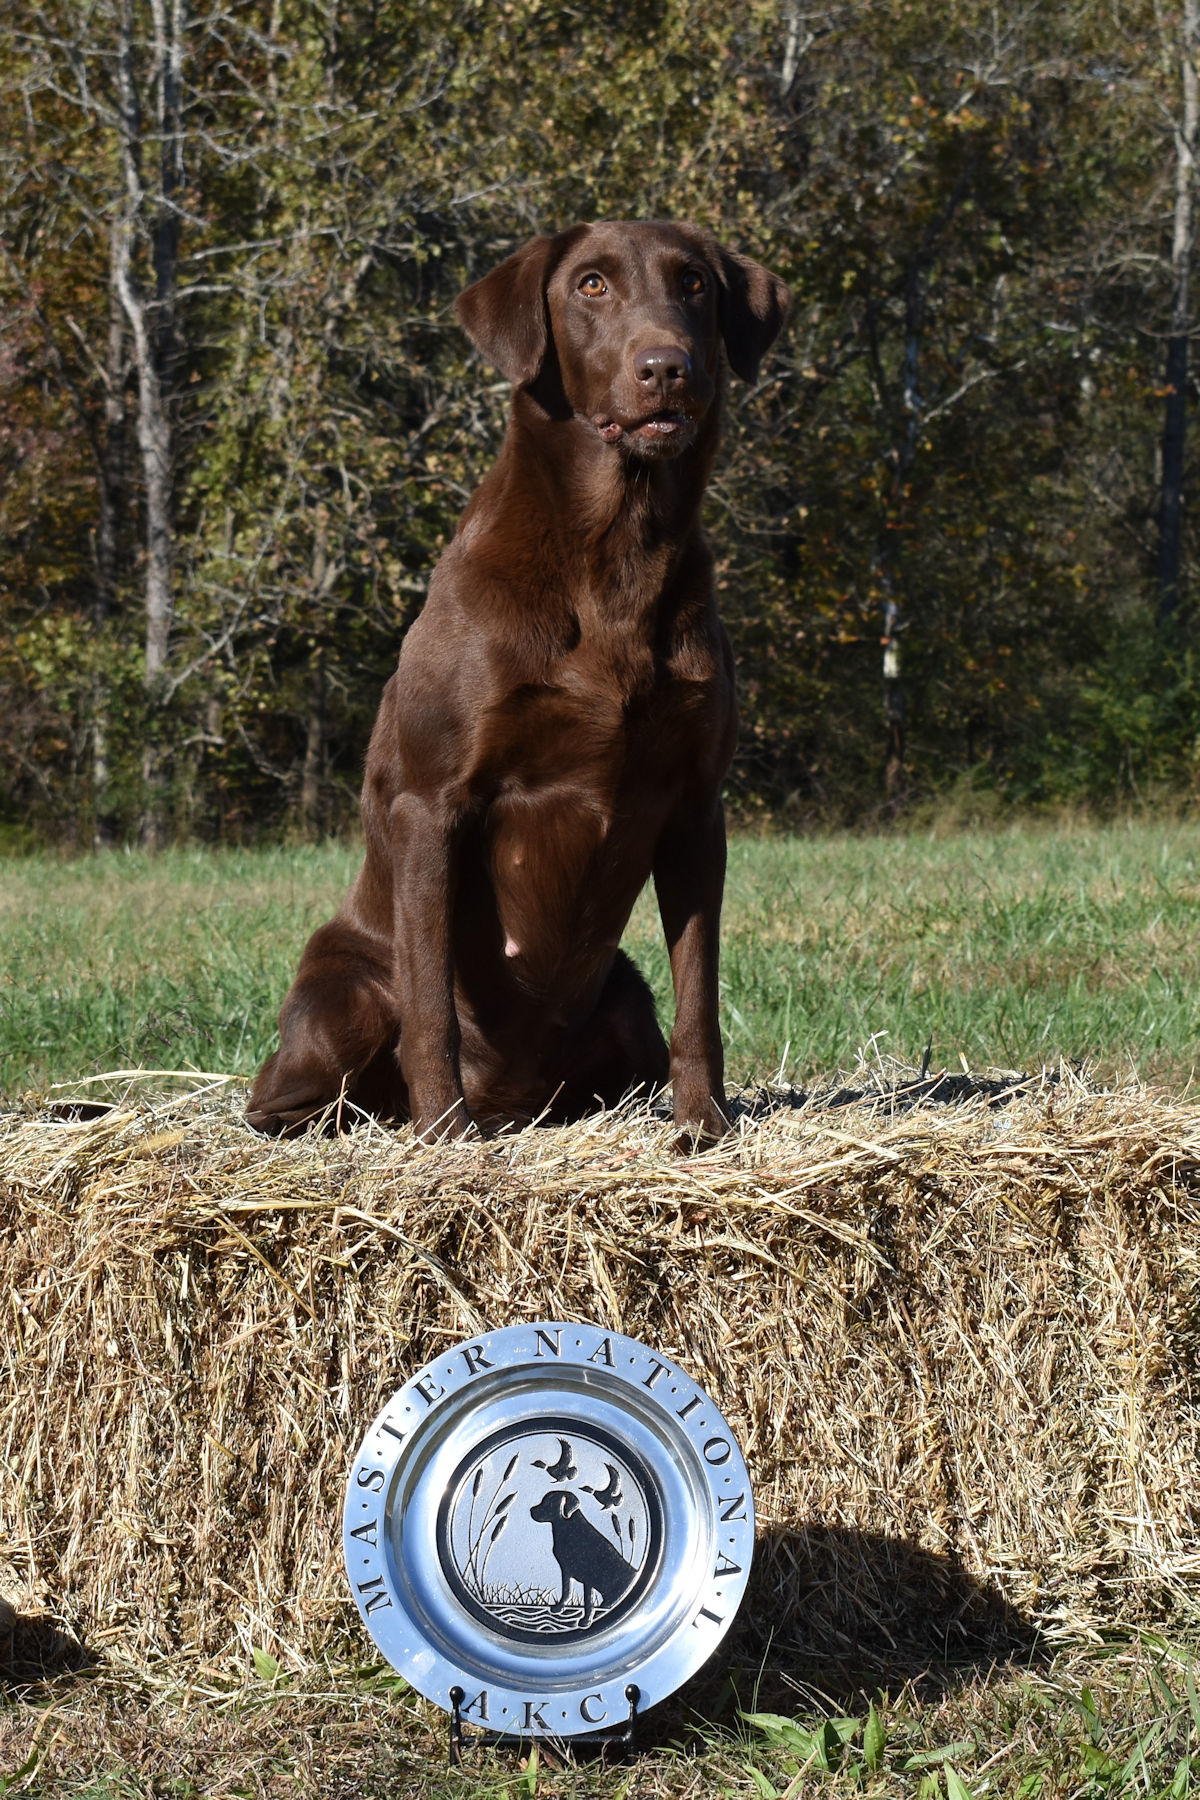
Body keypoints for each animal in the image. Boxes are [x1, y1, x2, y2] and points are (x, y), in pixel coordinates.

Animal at [246, 214, 788, 1137]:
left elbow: (700, 993)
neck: (615, 556)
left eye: (693, 284)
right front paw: (442, 1136)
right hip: (336, 994)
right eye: (591, 285)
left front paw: (704, 1124)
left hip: (623, 998)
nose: (666, 366)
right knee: (286, 1093)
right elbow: (430, 1004)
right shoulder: (433, 804)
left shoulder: (694, 807)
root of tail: (515, 1098)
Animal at [528, 1483, 636, 1627]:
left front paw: (585, 1620)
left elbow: (588, 1601)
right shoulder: (566, 1570)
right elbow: (566, 1591)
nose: (531, 1510)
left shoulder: (588, 1577)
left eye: (548, 1502)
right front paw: (559, 1607)